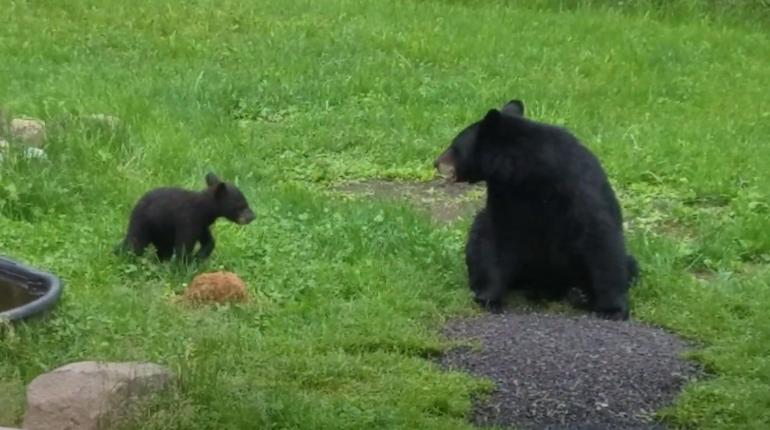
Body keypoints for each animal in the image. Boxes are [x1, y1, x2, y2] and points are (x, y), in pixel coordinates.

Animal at [117, 172, 254, 260]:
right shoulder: (188, 219)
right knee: (135, 243)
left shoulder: (201, 224)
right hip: (144, 223)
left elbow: (208, 241)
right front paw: (184, 266)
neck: (204, 209)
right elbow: (184, 245)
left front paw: (199, 256)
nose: (253, 216)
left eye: (246, 203)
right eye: (241, 205)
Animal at [432, 99, 636, 318]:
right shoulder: (505, 193)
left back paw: (579, 294)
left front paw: (612, 308)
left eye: (454, 147)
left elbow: (600, 236)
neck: (528, 170)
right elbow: (498, 237)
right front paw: (488, 297)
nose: (436, 162)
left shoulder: (577, 184)